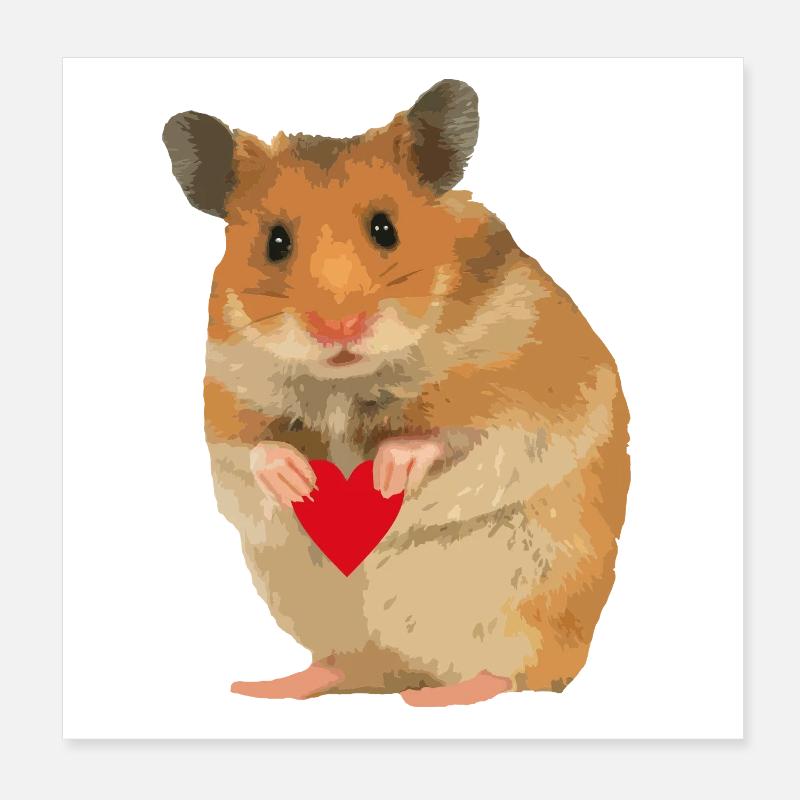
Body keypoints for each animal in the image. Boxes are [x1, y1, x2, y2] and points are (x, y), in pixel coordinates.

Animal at [163, 79, 630, 706]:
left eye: (386, 228)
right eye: (275, 242)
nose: (338, 328)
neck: (346, 379)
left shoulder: (526, 393)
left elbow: (460, 437)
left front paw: (386, 473)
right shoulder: (226, 398)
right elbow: (255, 451)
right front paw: (302, 482)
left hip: (523, 607)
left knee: (516, 675)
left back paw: (436, 697)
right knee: (349, 668)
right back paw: (264, 686)